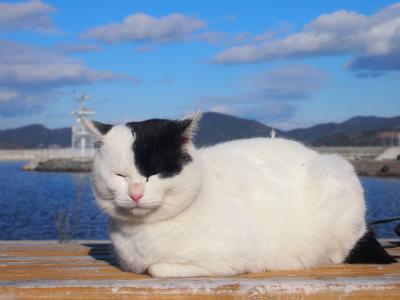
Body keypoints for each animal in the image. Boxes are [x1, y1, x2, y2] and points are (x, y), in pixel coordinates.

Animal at [83, 113, 394, 278]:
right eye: (120, 175)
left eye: (154, 173)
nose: (135, 193)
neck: (140, 235)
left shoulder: (227, 260)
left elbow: (157, 269)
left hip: (337, 176)